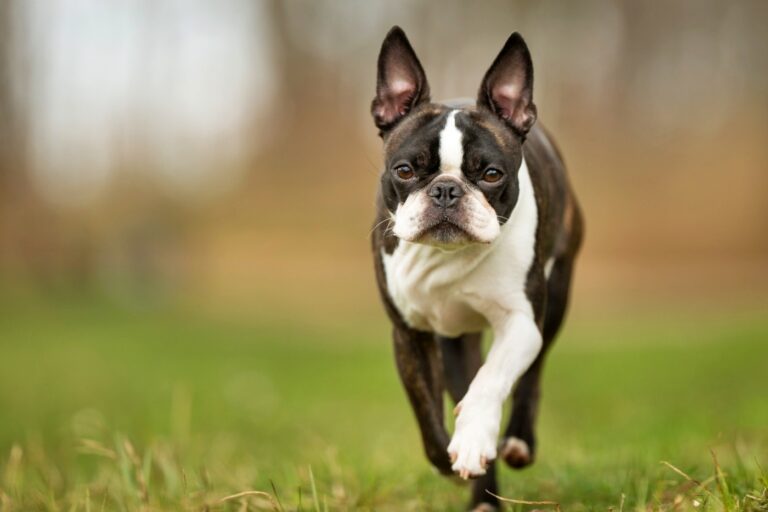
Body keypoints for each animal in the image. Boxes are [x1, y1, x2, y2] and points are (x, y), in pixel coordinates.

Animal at [370, 26, 584, 510]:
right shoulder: (408, 334)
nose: (447, 190)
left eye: (490, 175)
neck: (448, 256)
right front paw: (451, 460)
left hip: (556, 293)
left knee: (532, 371)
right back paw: (483, 496)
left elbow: (491, 379)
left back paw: (516, 441)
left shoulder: (521, 321)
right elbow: (429, 421)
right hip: (453, 341)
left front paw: (472, 440)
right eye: (405, 170)